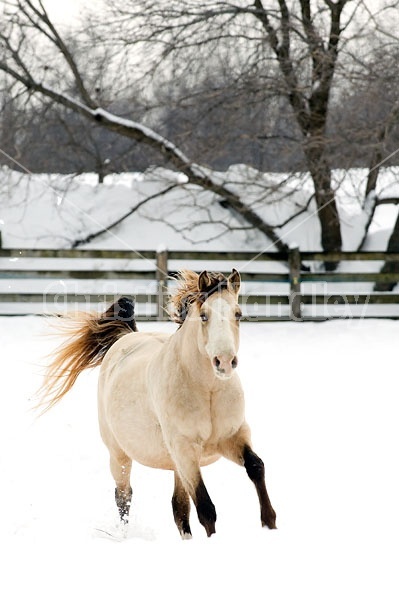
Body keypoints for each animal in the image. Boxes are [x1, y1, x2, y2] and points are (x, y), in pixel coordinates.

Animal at [39, 270, 278, 536]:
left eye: (238, 314)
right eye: (204, 315)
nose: (224, 362)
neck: (208, 391)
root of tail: (126, 337)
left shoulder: (232, 437)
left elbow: (256, 467)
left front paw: (269, 523)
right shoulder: (185, 450)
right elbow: (206, 508)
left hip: (176, 466)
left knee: (179, 508)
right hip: (119, 454)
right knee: (124, 497)